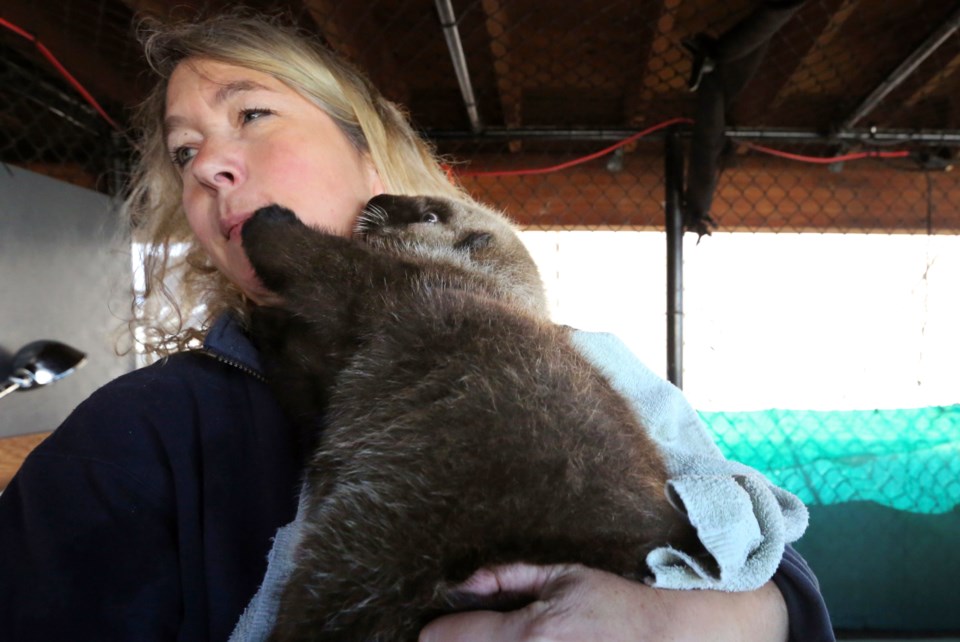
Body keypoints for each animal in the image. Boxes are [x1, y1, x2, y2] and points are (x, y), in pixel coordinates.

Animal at [238, 194, 688, 640]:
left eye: (430, 215)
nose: (375, 199)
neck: (488, 285)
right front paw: (265, 323)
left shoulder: (395, 281)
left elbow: (322, 263)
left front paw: (268, 222)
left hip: (377, 541)